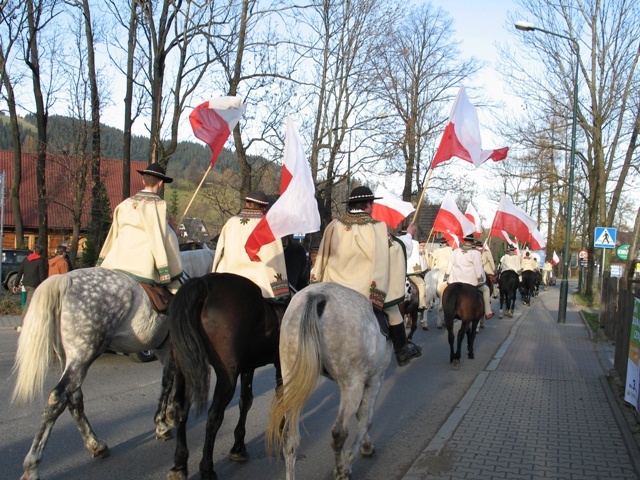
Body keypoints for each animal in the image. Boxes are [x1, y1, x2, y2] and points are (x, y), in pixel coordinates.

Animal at [10, 248, 215, 480]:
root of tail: (64, 279)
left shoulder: (163, 349)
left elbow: (169, 382)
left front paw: (169, 414)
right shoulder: (172, 349)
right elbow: (168, 382)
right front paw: (163, 423)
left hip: (69, 359)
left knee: (74, 398)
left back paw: (96, 444)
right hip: (83, 356)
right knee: (58, 398)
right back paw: (32, 465)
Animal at [264, 284, 390, 480]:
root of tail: (318, 296)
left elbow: (361, 415)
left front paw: (364, 446)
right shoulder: (375, 379)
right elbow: (365, 419)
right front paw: (353, 457)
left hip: (292, 383)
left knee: (289, 438)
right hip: (352, 384)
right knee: (339, 432)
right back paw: (341, 471)